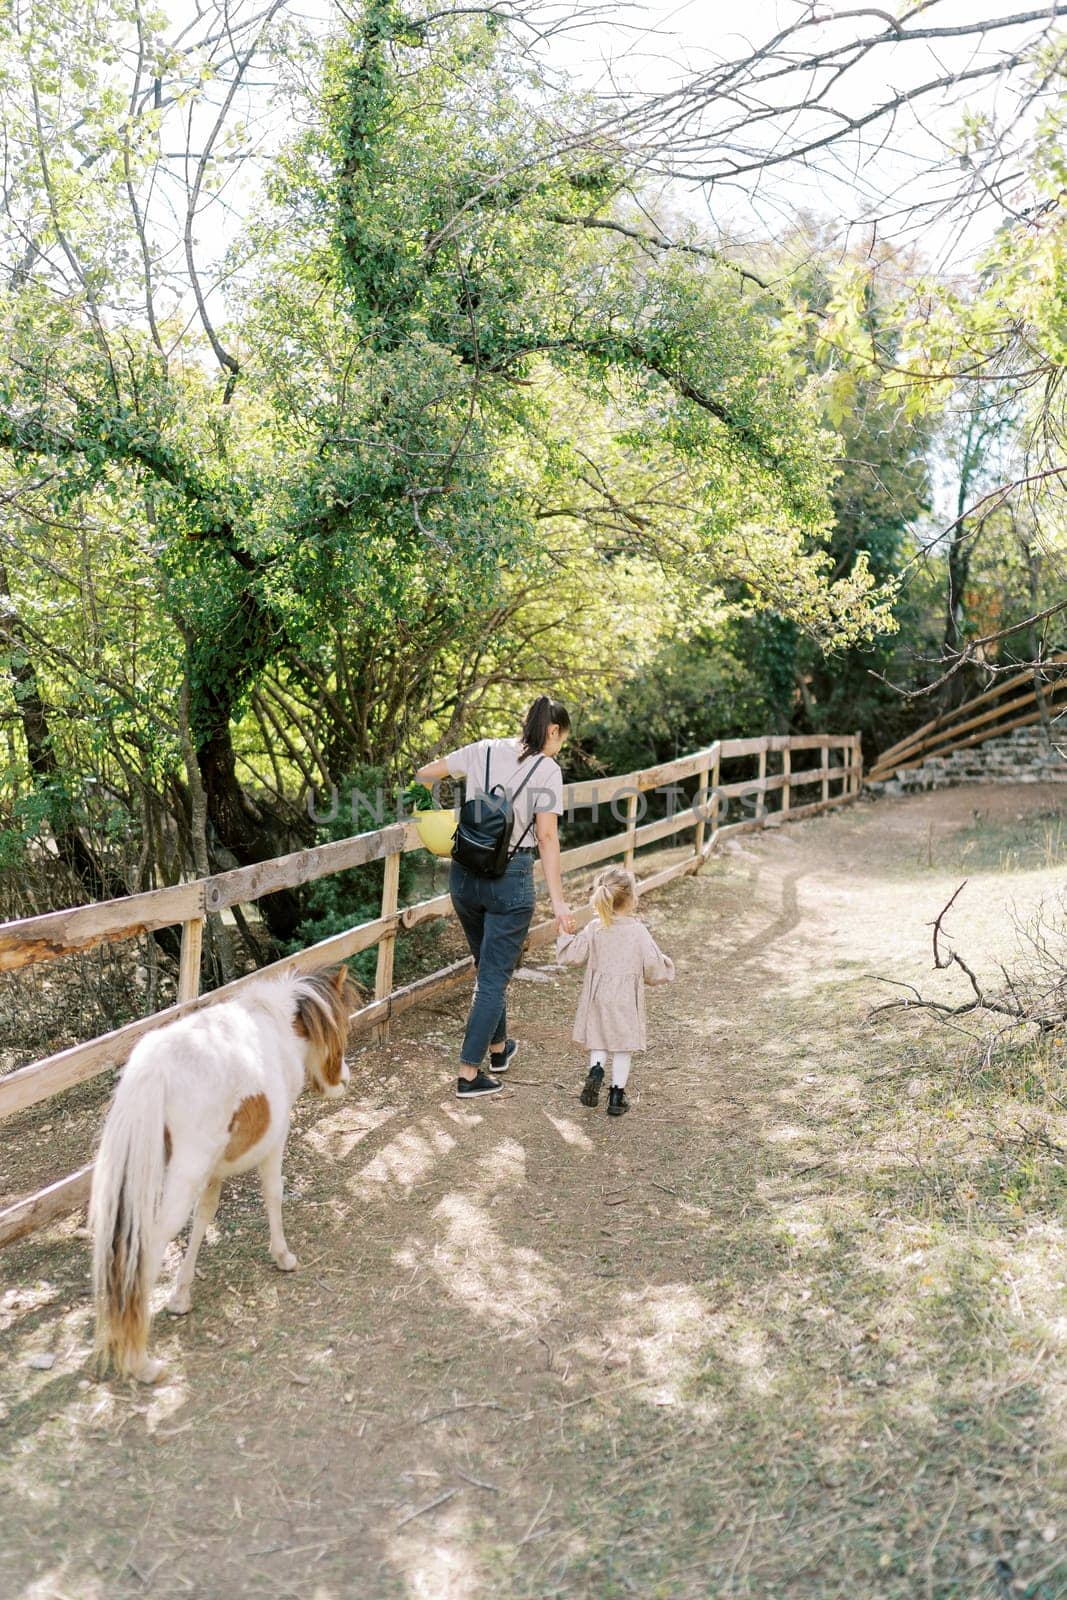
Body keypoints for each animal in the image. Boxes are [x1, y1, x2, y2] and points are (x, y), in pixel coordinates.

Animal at [88, 966, 355, 1382]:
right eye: (340, 1028)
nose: (344, 1078)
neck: (275, 1027)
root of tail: (155, 1068)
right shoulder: (274, 1143)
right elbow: (273, 1194)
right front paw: (283, 1256)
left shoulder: (211, 1172)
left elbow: (204, 1217)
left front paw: (181, 1295)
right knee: (146, 1247)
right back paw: (140, 1362)